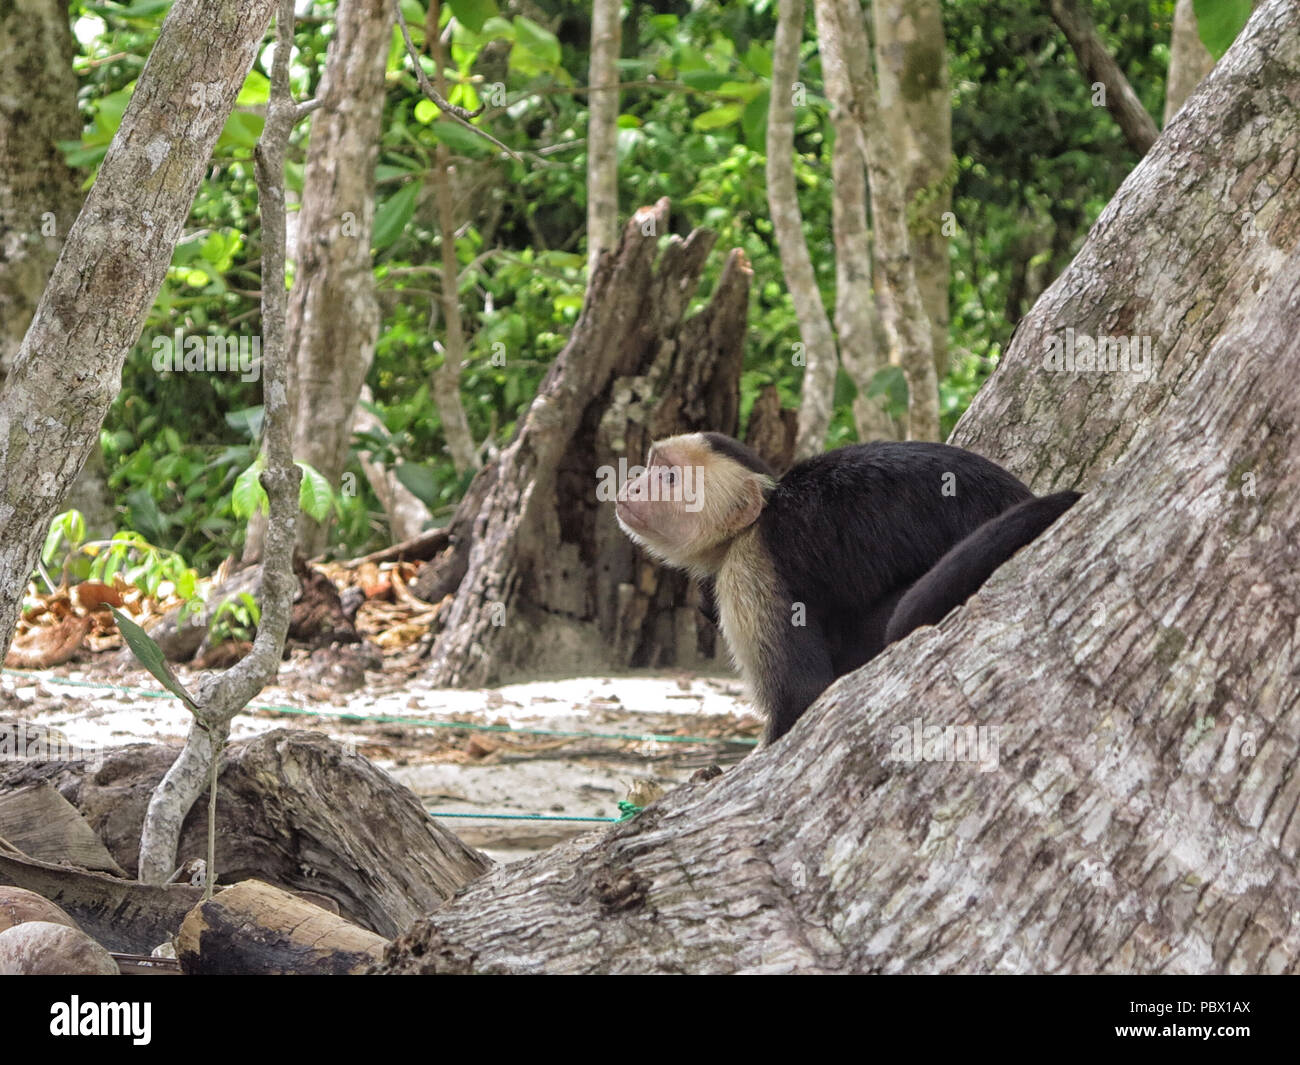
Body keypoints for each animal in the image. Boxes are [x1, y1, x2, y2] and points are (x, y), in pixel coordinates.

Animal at [613, 429, 1081, 743]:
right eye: (653, 468)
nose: (632, 484)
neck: (757, 520)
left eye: (669, 479)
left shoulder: (751, 568)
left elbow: (801, 697)